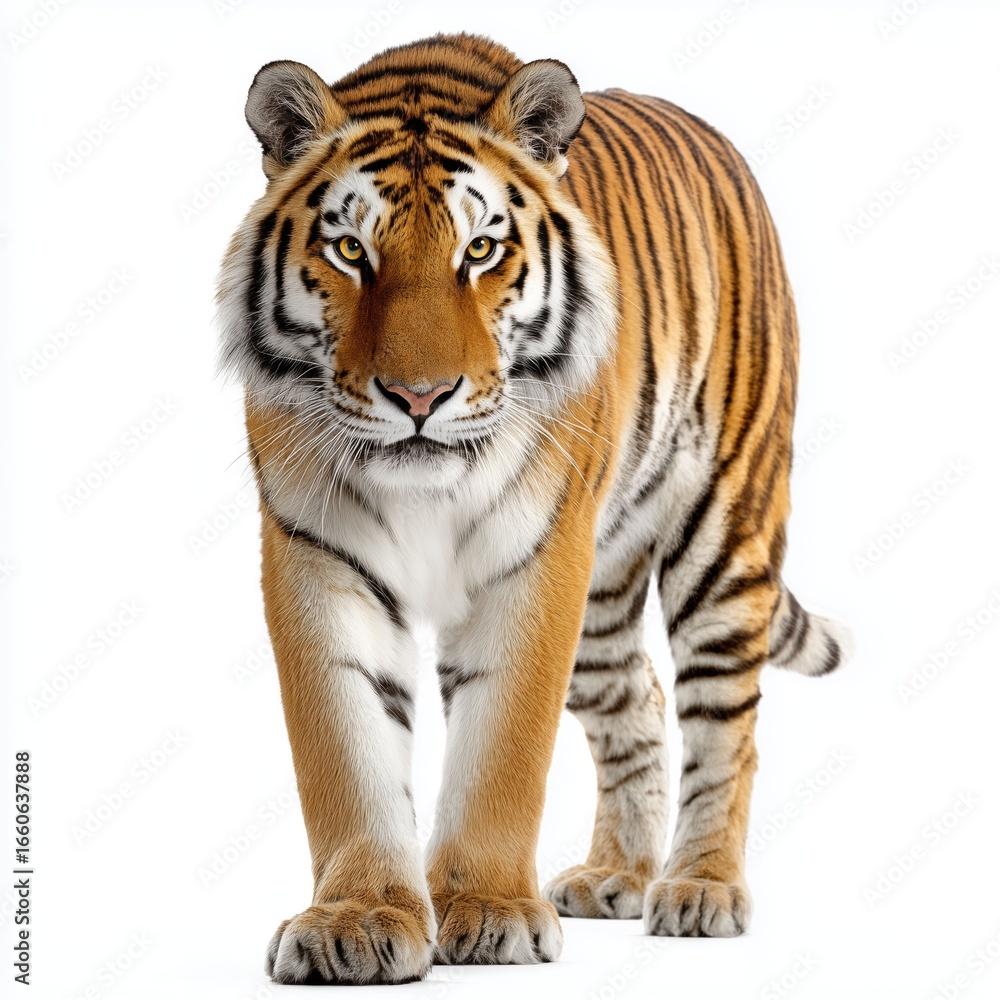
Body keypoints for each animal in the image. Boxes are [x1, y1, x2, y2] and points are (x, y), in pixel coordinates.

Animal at [216, 31, 851, 985]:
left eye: (480, 250)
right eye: (351, 252)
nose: (419, 397)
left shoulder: (537, 559)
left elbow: (503, 748)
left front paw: (487, 912)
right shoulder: (314, 556)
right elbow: (346, 750)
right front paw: (357, 920)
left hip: (724, 533)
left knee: (724, 726)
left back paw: (700, 889)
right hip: (604, 594)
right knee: (638, 702)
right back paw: (615, 876)